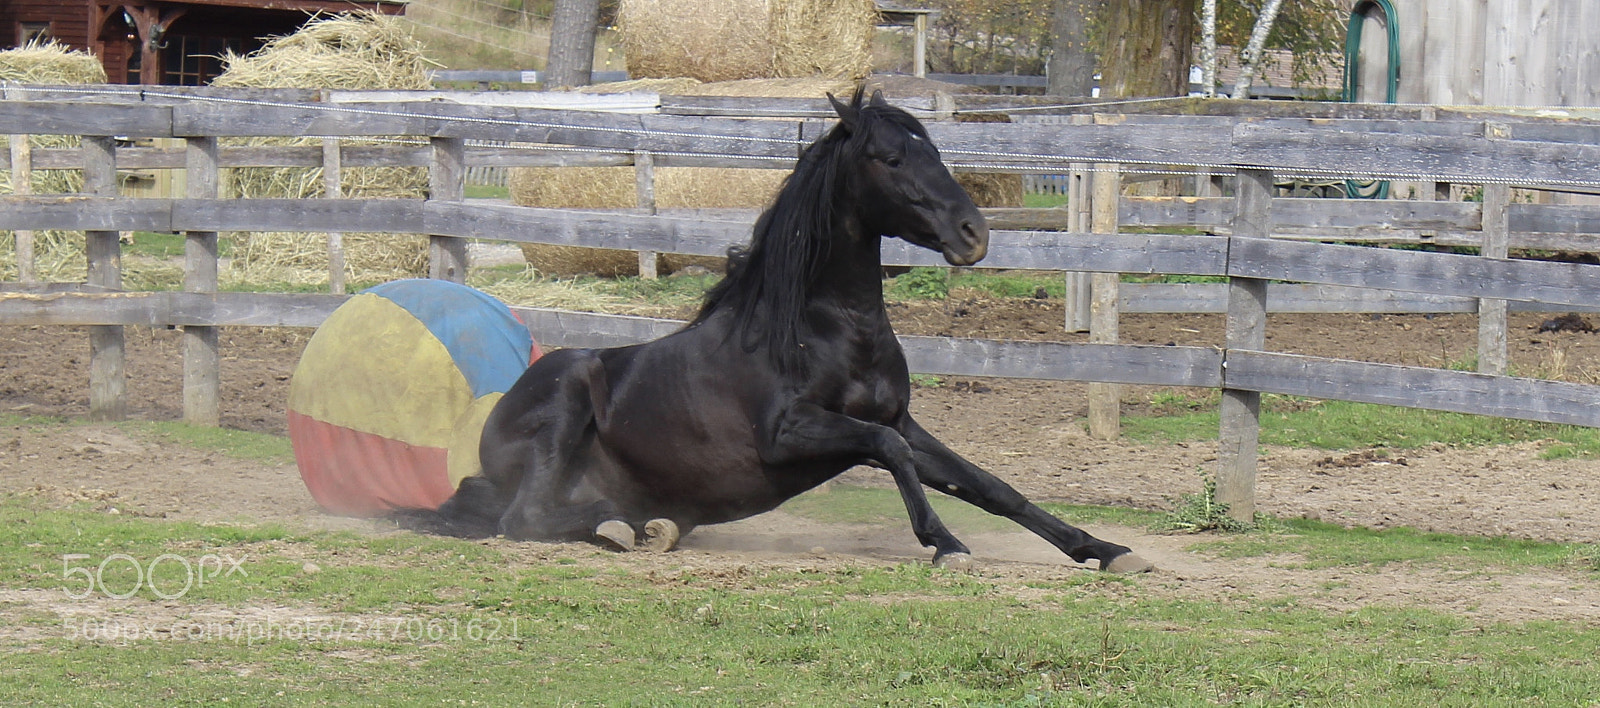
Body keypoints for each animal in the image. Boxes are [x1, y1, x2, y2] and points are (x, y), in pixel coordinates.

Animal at [400, 88, 1150, 574]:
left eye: (931, 148)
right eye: (891, 158)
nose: (974, 234)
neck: (825, 330)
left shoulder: (903, 422)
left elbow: (989, 485)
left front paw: (1104, 550)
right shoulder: (791, 432)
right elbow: (891, 455)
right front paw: (945, 544)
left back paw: (650, 526)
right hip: (567, 393)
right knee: (523, 521)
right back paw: (624, 526)